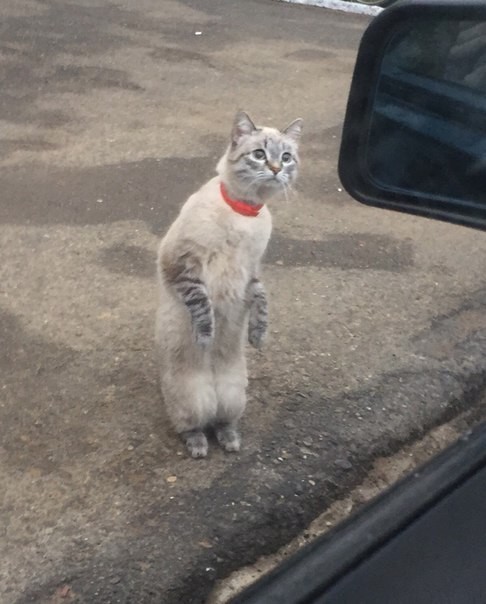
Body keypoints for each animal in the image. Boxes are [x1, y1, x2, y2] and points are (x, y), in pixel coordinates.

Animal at [156, 111, 302, 458]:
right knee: (193, 426)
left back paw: (231, 440)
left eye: (286, 157)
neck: (245, 213)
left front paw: (258, 336)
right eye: (259, 154)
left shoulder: (251, 272)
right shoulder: (182, 265)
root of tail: (212, 387)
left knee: (221, 421)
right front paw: (206, 336)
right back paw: (198, 446)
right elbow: (202, 304)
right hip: (191, 398)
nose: (275, 169)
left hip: (234, 395)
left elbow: (262, 300)